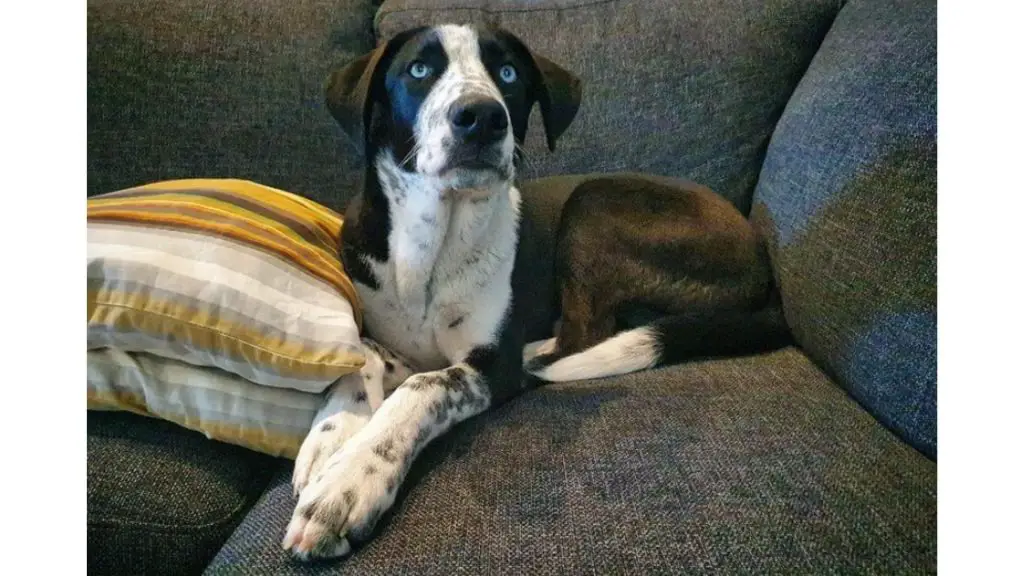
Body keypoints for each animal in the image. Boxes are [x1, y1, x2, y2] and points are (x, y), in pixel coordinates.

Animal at [280, 23, 782, 561]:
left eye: (507, 73)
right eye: (418, 69)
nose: (482, 117)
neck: (433, 242)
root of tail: (761, 263)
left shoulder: (488, 368)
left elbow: (424, 387)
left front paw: (349, 483)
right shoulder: (389, 333)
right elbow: (362, 353)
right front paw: (333, 436)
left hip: (593, 205)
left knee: (586, 333)